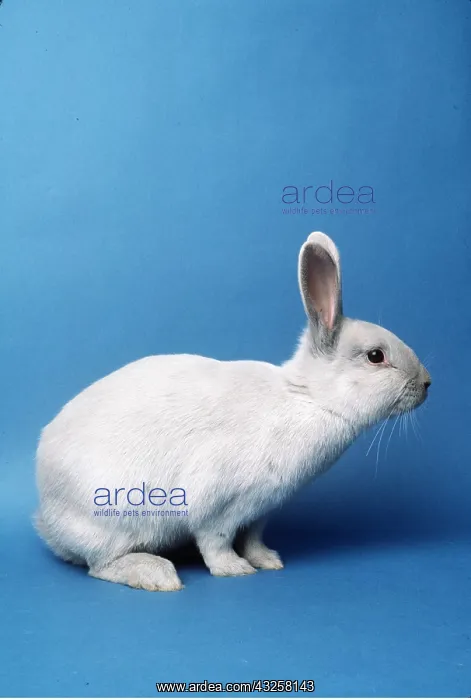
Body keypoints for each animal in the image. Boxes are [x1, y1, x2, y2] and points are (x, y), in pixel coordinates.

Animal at [35, 231, 431, 591]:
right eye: (376, 356)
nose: (427, 383)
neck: (309, 398)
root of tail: (46, 518)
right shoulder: (216, 504)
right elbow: (216, 541)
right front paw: (235, 570)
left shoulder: (261, 509)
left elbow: (252, 538)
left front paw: (268, 561)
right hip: (113, 520)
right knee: (100, 565)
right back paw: (156, 575)